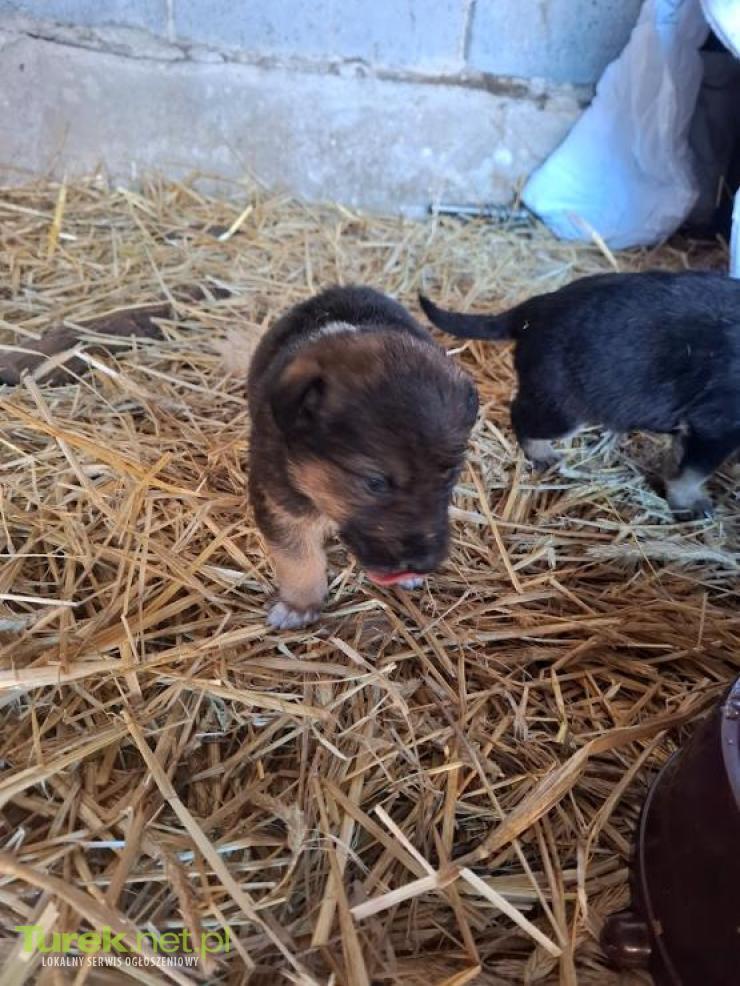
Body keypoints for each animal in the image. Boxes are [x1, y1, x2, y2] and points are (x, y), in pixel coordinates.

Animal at [247, 285, 478, 629]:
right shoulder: (279, 501)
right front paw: (299, 606)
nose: (423, 564)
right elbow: (298, 557)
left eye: (449, 475)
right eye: (374, 483)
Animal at [420, 270, 740, 518]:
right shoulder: (714, 427)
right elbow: (691, 473)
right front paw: (691, 505)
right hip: (563, 406)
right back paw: (543, 455)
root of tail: (536, 308)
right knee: (521, 416)